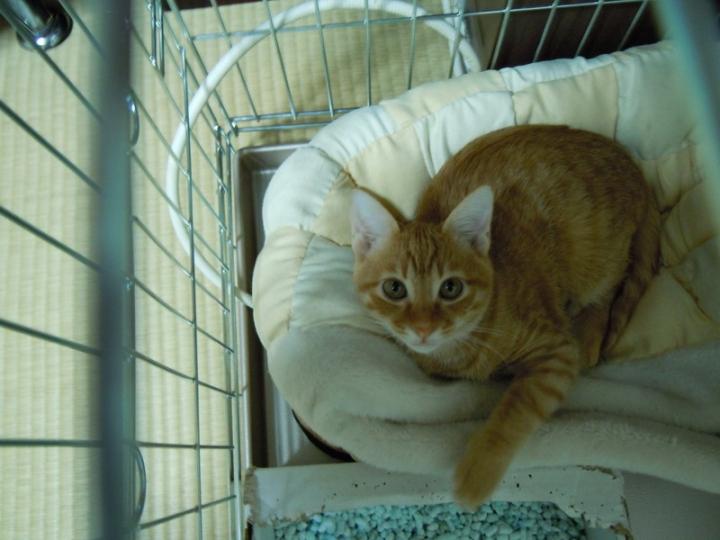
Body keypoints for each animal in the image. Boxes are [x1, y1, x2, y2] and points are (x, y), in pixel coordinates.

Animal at [350, 125, 660, 508]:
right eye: (394, 289)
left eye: (450, 288)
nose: (423, 329)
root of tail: (630, 162)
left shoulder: (557, 351)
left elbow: (518, 407)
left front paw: (477, 473)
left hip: (599, 261)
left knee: (607, 293)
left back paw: (589, 334)